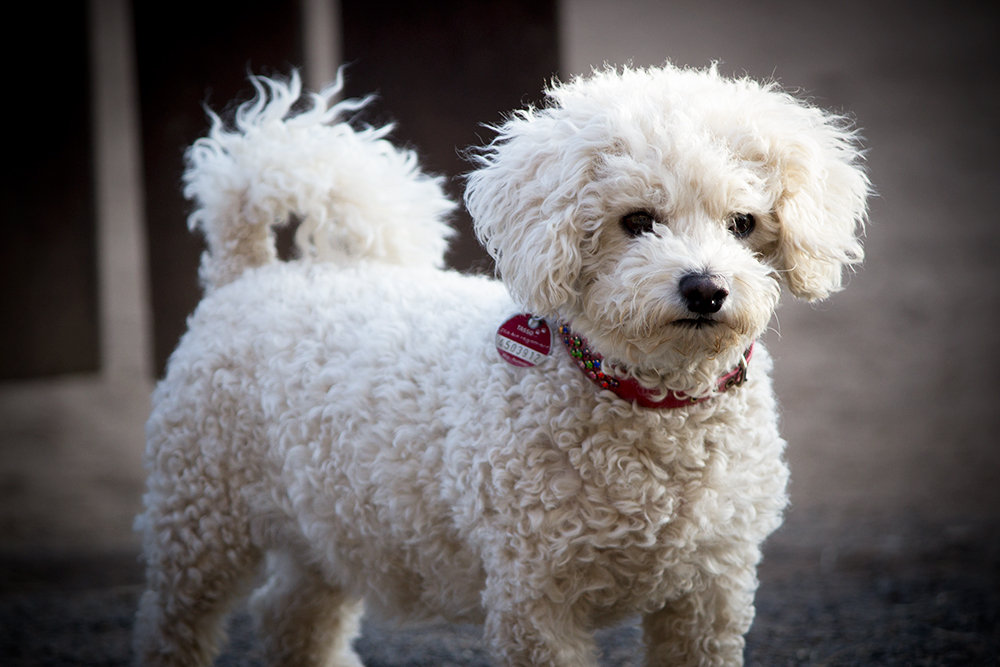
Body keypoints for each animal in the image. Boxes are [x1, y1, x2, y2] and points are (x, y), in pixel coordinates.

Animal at [133, 64, 868, 667]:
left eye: (743, 223)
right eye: (637, 221)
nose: (706, 289)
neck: (645, 402)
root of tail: (247, 272)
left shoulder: (708, 595)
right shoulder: (535, 596)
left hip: (330, 520)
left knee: (292, 611)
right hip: (199, 514)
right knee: (177, 621)